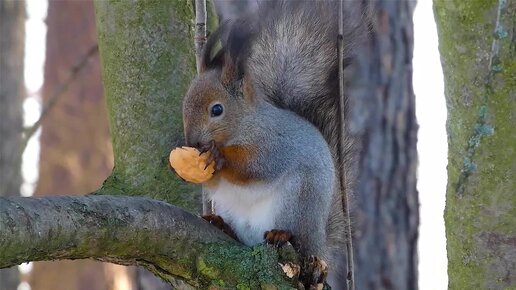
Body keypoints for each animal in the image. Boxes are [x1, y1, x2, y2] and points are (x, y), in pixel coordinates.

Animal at [181, 1, 366, 288]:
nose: (193, 142)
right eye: (185, 103)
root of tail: (320, 242)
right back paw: (221, 225)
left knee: (296, 240)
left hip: (296, 203)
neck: (244, 126)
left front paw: (219, 157)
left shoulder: (276, 144)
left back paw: (281, 235)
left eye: (217, 110)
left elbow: (257, 167)